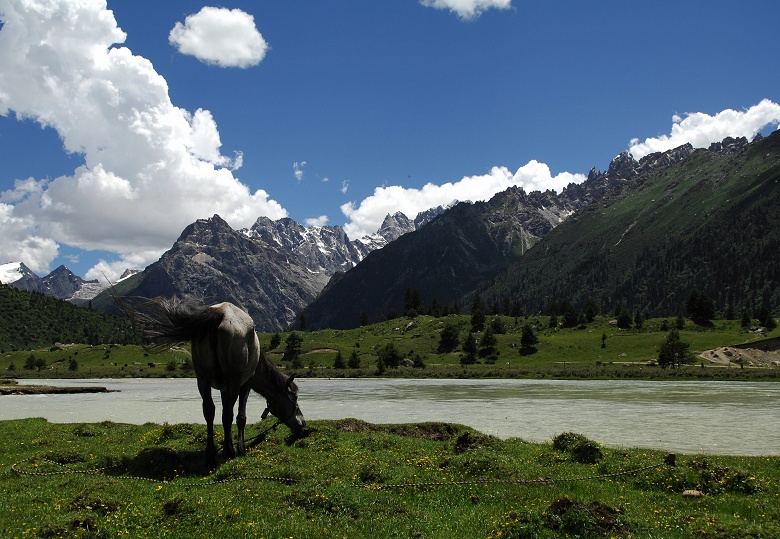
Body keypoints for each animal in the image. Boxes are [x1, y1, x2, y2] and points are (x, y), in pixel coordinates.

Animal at [122, 298, 304, 466]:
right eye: (294, 397)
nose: (302, 423)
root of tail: (220, 313)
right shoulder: (244, 385)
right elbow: (240, 417)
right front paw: (240, 448)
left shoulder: (223, 389)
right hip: (232, 380)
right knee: (227, 414)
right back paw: (229, 452)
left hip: (202, 379)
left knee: (209, 411)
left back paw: (210, 454)